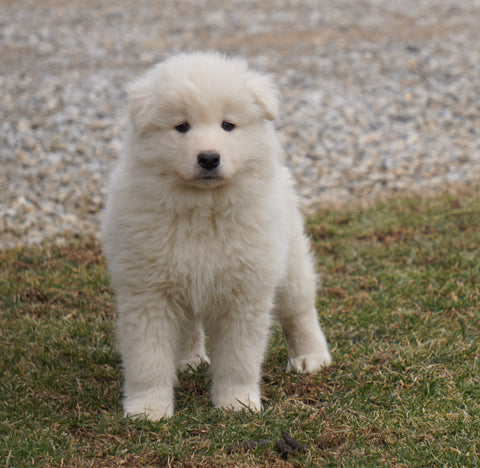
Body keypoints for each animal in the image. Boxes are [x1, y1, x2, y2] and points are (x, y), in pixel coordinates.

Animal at [102, 52, 330, 420]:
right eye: (181, 126)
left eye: (228, 125)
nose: (209, 158)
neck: (202, 210)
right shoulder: (149, 293)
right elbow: (148, 359)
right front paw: (148, 409)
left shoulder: (245, 293)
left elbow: (239, 358)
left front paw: (236, 404)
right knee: (188, 326)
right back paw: (189, 359)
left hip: (290, 261)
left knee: (300, 309)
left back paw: (311, 356)